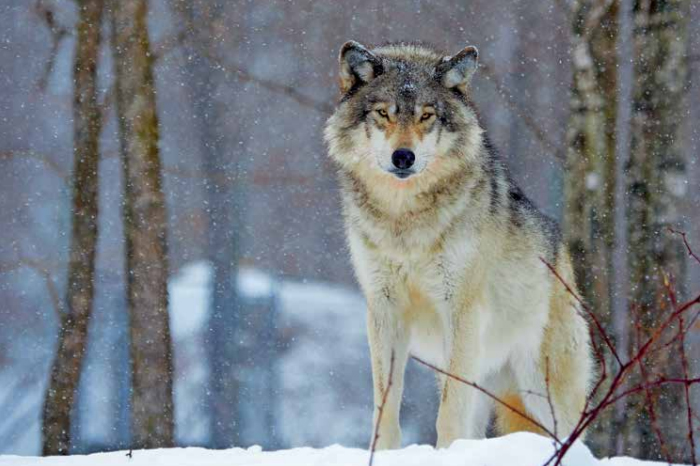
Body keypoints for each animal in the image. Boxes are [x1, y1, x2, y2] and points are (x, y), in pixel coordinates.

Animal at [322, 41, 592, 450]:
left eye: (427, 116)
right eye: (383, 113)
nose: (403, 157)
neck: (405, 220)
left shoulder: (461, 310)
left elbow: (448, 411)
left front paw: (446, 452)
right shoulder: (383, 310)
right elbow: (385, 405)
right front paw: (384, 453)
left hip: (542, 391)